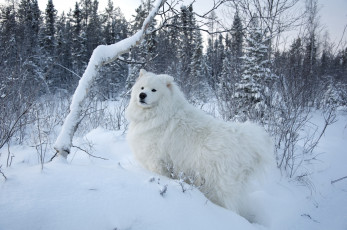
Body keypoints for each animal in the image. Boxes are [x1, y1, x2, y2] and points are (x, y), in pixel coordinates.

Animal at [125, 69, 274, 220]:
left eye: (153, 90)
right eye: (142, 88)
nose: (142, 95)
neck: (159, 114)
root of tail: (243, 140)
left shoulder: (156, 160)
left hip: (216, 185)